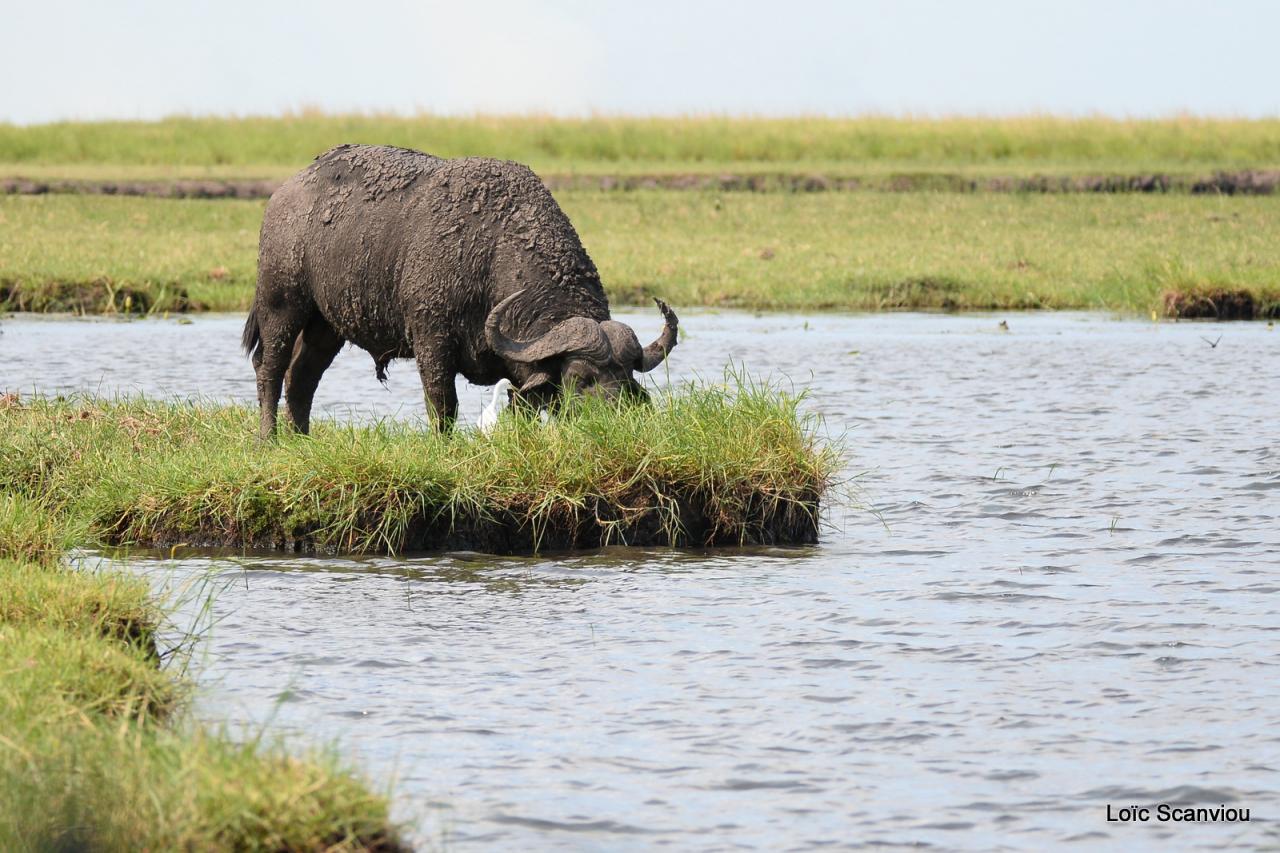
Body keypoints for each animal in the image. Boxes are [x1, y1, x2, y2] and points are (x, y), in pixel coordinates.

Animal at [241, 142, 680, 435]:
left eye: (625, 376)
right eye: (579, 377)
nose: (617, 417)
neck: (492, 251)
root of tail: (283, 195)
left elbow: (519, 407)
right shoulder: (431, 340)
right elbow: (443, 405)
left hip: (327, 324)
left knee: (303, 376)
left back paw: (301, 439)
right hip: (281, 304)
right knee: (270, 369)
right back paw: (269, 439)